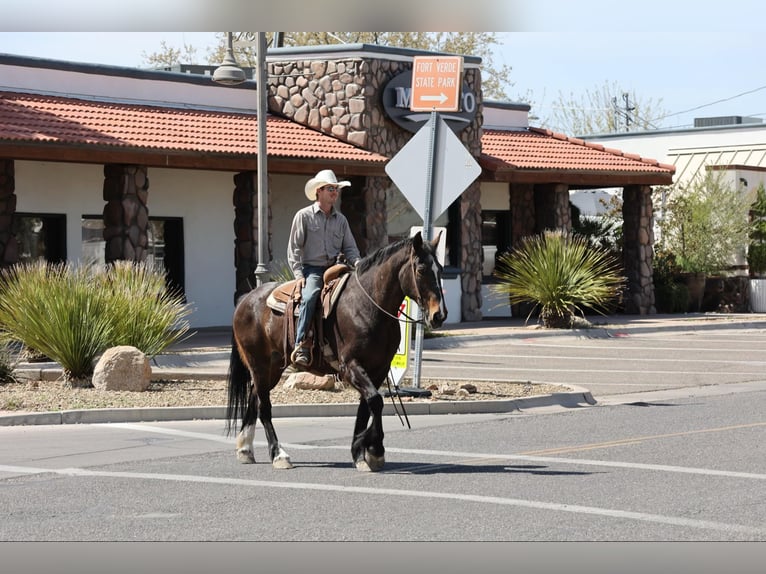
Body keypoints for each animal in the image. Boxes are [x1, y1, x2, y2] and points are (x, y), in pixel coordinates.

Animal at [226, 231, 447, 472]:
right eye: (421, 269)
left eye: (440, 268)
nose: (439, 315)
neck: (367, 305)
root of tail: (245, 300)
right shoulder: (350, 366)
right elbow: (375, 401)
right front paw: (374, 450)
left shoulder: (378, 369)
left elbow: (366, 406)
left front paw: (360, 452)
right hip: (259, 363)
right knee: (264, 406)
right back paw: (279, 454)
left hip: (273, 367)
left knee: (254, 397)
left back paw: (245, 449)